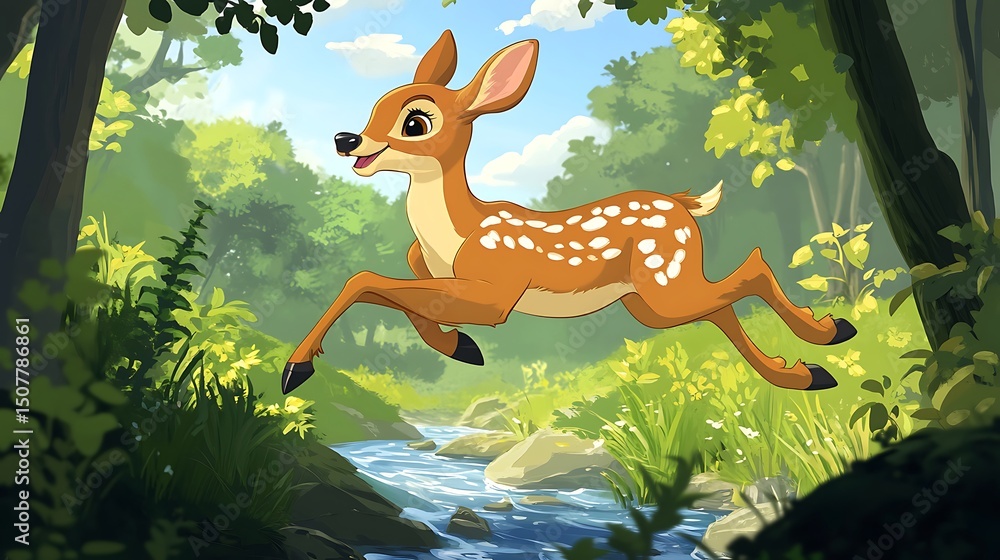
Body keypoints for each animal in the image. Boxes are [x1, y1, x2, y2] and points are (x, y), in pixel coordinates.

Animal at [281, 29, 857, 395]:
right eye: (377, 102)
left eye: (416, 121)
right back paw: (807, 370)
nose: (345, 139)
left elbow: (366, 280)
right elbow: (397, 291)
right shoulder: (432, 271)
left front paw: (295, 369)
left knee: (751, 269)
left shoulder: (497, 290)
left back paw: (828, 336)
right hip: (650, 299)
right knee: (721, 305)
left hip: (663, 282)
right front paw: (458, 345)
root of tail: (682, 203)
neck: (453, 234)